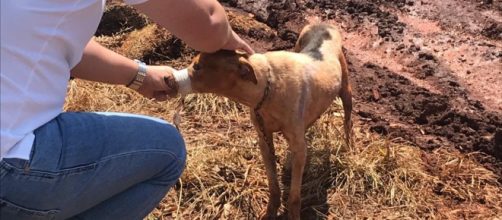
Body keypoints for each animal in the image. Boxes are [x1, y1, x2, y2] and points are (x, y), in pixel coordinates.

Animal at [173, 23, 352, 219]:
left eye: (197, 66)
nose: (169, 79)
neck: (269, 86)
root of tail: (323, 23)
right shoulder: (264, 141)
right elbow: (273, 185)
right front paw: (270, 211)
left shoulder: (295, 143)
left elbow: (294, 195)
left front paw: (293, 213)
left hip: (346, 89)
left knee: (347, 120)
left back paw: (348, 147)